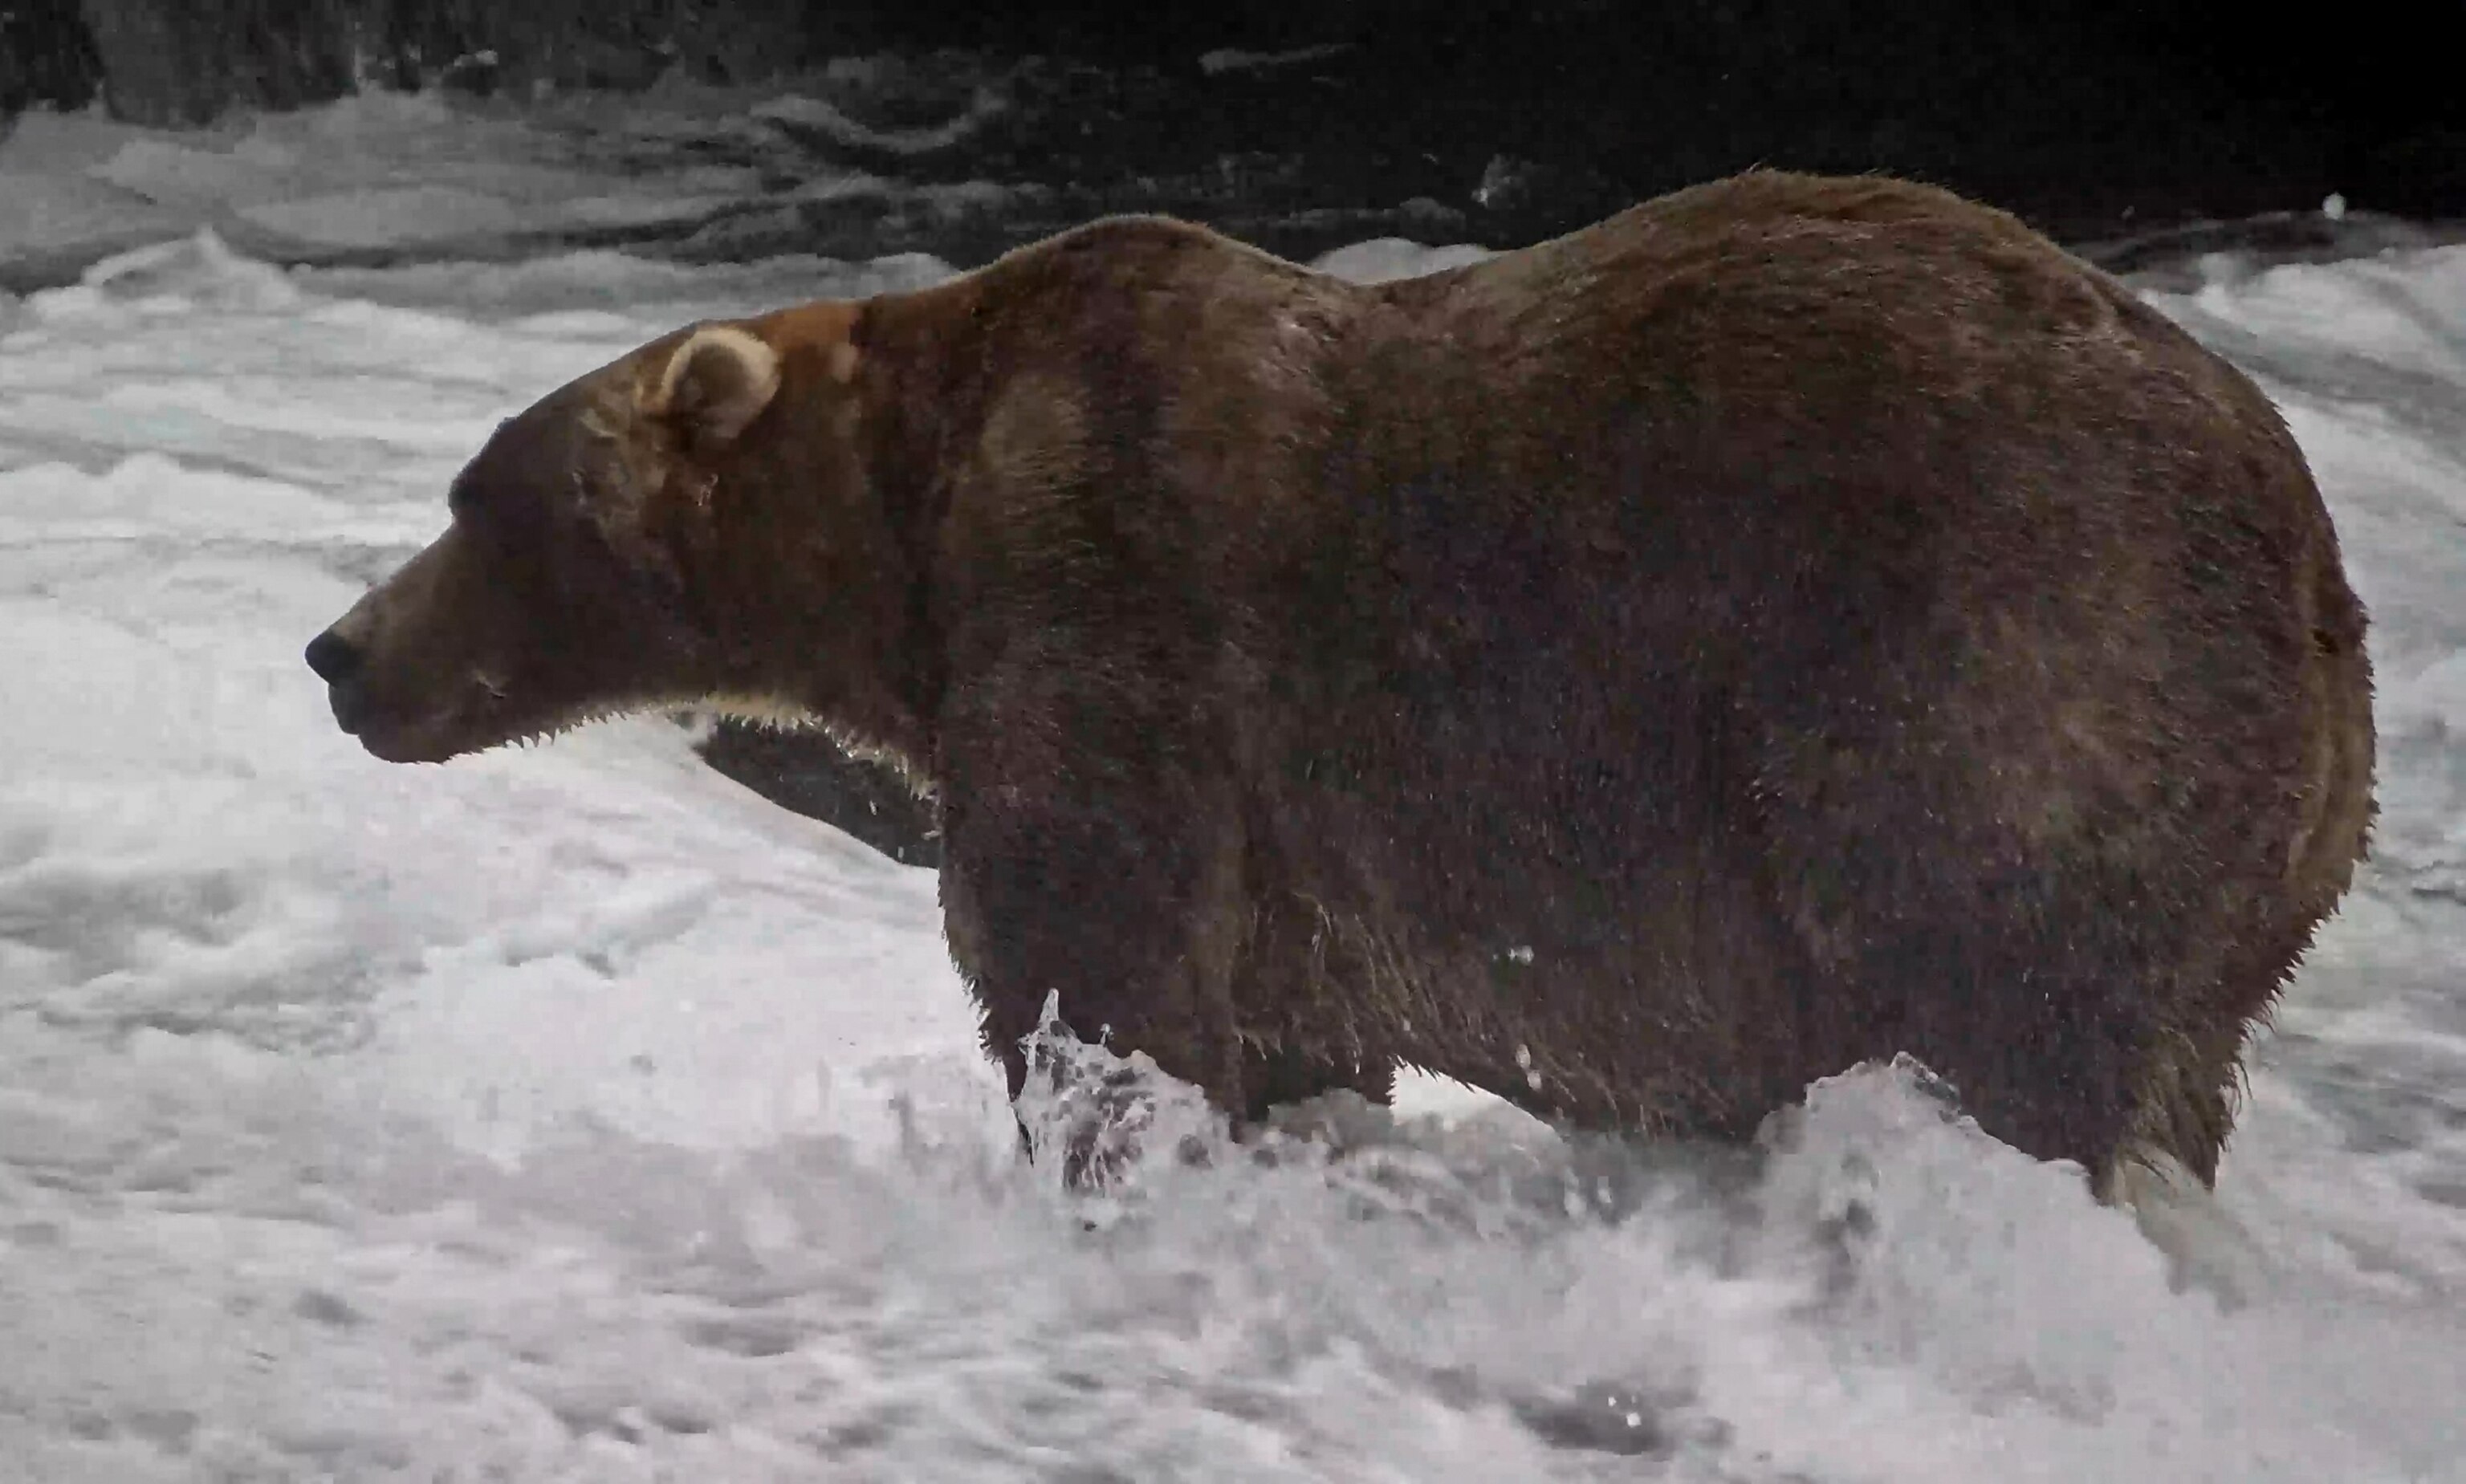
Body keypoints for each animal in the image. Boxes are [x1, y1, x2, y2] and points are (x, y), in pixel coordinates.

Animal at [305, 168, 2375, 1199]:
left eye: (476, 498)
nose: (339, 652)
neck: (906, 534)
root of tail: (2314, 564)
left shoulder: (1112, 607)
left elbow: (1092, 967)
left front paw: (1101, 1156)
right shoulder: (1296, 845)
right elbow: (1287, 1022)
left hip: (1992, 668)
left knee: (1993, 997)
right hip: (2246, 853)